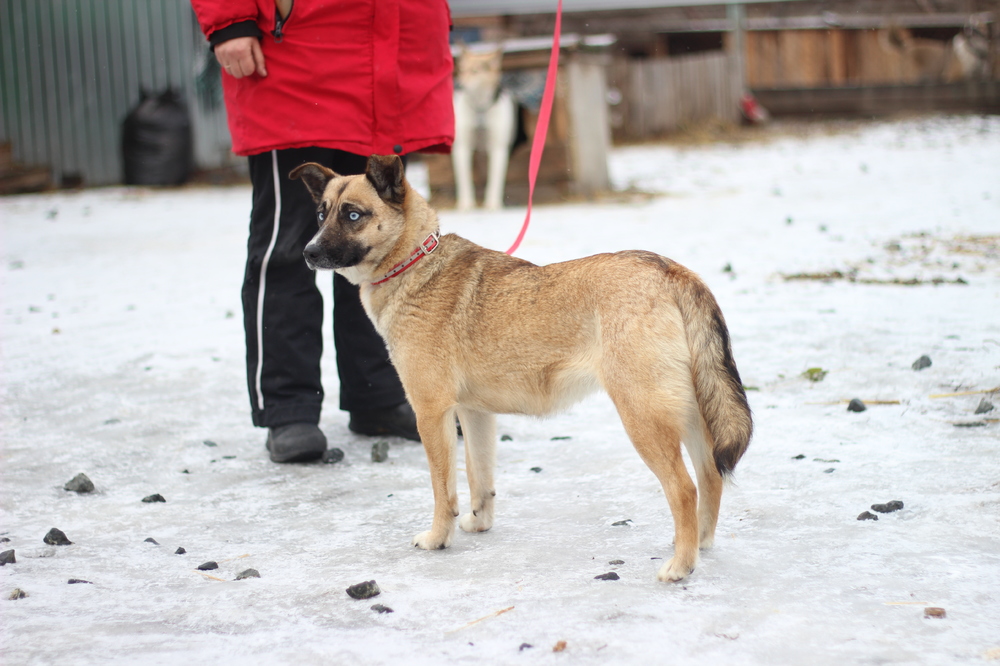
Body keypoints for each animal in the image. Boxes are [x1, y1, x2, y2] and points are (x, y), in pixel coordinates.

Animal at [291, 155, 752, 582]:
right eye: (321, 213)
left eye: (353, 214)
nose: (308, 253)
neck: (414, 263)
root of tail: (672, 271)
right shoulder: (473, 414)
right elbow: (480, 479)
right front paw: (479, 522)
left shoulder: (432, 413)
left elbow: (444, 490)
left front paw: (438, 538)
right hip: (689, 413)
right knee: (710, 477)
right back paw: (699, 544)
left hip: (644, 418)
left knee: (684, 488)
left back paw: (681, 564)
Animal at [451, 46, 517, 211]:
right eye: (461, 70)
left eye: (475, 71)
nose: (459, 86)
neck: (480, 110)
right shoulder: (462, 147)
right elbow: (464, 179)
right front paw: (466, 204)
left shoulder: (498, 148)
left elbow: (495, 179)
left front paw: (493, 204)